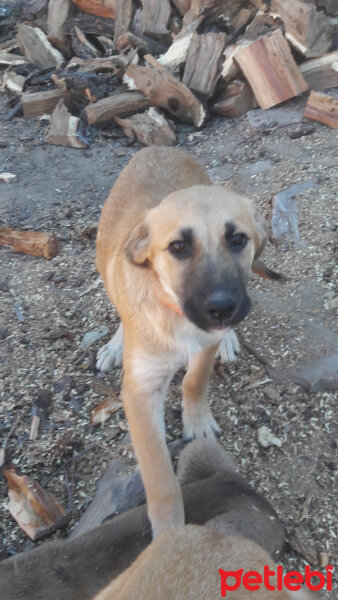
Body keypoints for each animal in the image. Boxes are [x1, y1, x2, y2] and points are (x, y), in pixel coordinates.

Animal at [95, 148, 280, 536]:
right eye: (178, 247)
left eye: (237, 240)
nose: (222, 308)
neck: (175, 313)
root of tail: (157, 148)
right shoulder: (140, 392)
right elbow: (160, 478)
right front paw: (170, 534)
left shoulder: (204, 343)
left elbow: (195, 380)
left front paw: (197, 421)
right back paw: (116, 343)